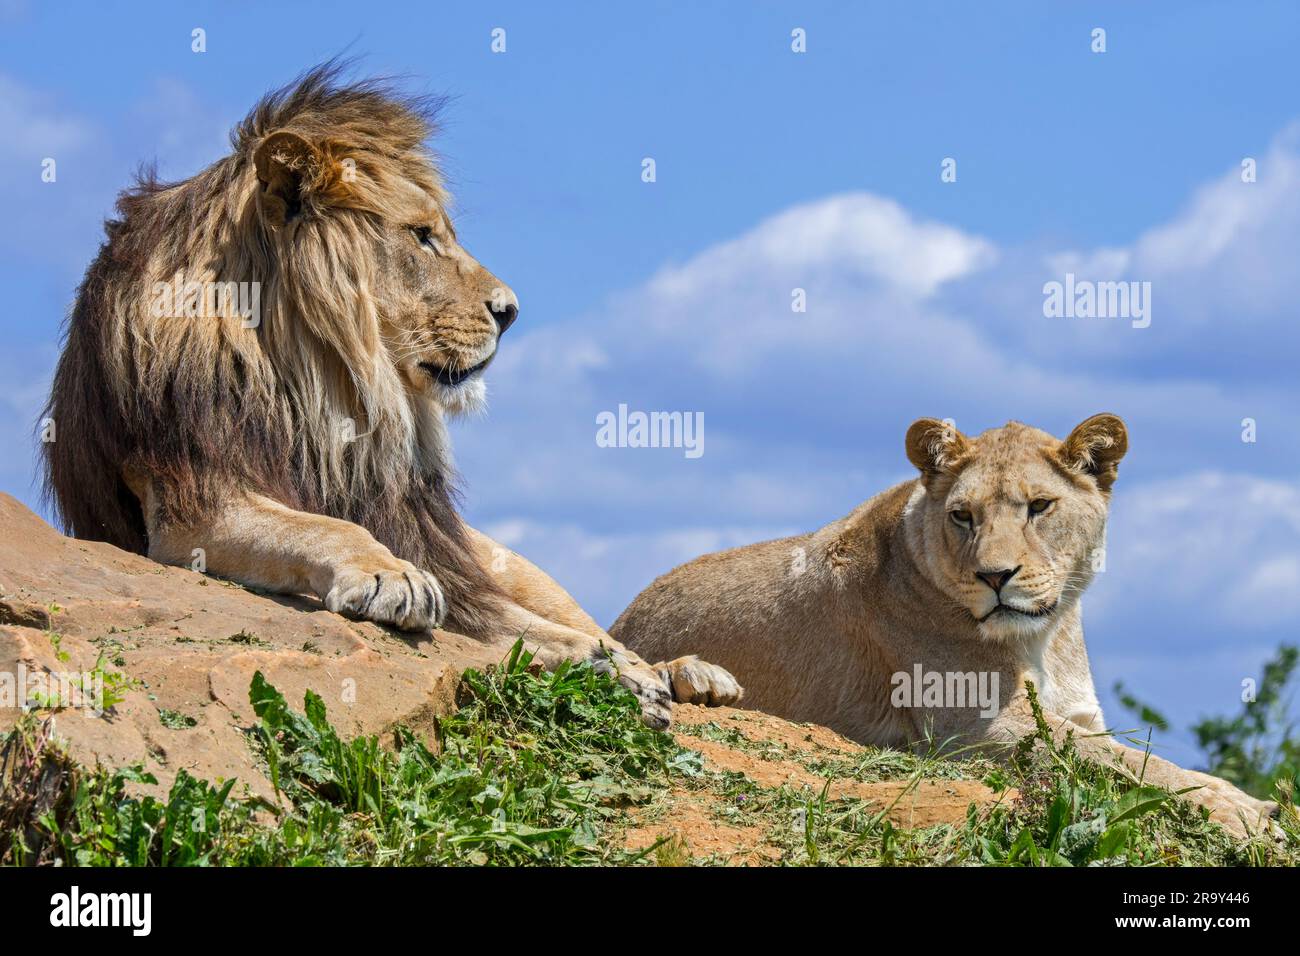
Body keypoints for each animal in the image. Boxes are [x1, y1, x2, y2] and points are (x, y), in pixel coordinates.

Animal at [40, 63, 740, 730]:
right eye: (423, 235)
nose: (510, 311)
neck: (321, 381)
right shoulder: (193, 506)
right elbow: (326, 525)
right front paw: (391, 576)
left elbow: (529, 628)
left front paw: (619, 670)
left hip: (502, 557)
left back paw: (689, 671)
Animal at [612, 415, 1279, 835]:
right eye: (963, 515)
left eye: (1040, 506)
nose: (995, 576)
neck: (1044, 635)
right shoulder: (976, 726)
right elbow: (1125, 762)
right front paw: (1241, 809)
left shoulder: (1078, 714)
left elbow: (1130, 755)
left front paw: (1238, 800)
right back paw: (697, 678)